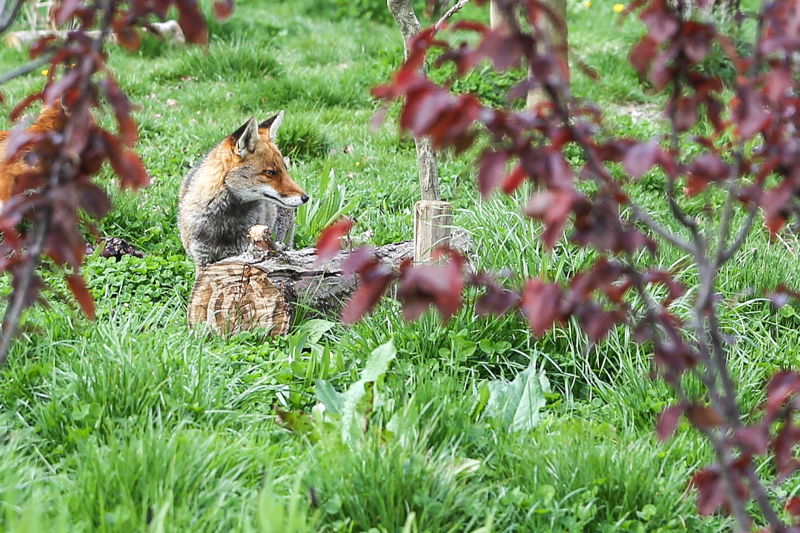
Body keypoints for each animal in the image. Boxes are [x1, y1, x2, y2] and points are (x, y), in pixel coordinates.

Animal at [178, 111, 309, 271]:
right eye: (270, 172)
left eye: (285, 169)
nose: (306, 197)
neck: (224, 224)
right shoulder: (201, 260)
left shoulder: (243, 255)